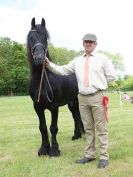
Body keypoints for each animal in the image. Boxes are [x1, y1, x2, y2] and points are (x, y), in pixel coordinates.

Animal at [26, 17, 83, 156]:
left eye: (45, 37)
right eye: (31, 37)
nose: (40, 58)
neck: (42, 81)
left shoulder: (54, 106)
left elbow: (53, 127)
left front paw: (54, 150)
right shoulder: (37, 107)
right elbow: (42, 127)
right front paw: (43, 149)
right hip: (72, 102)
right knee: (76, 115)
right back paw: (77, 135)